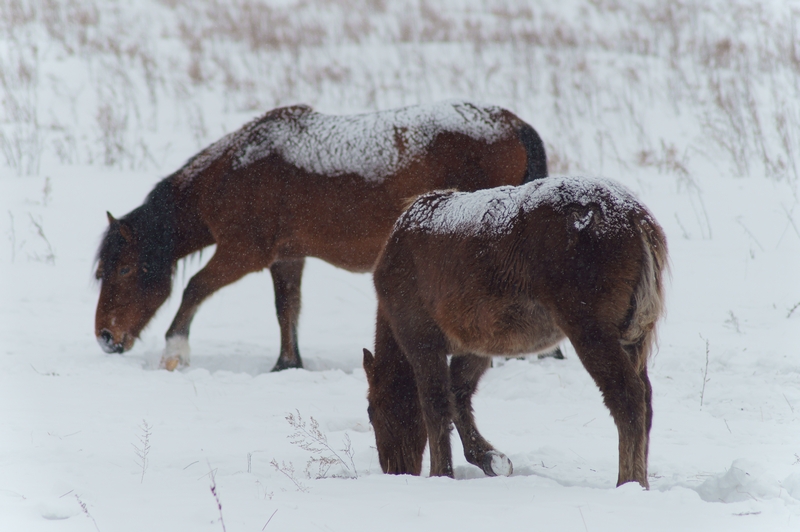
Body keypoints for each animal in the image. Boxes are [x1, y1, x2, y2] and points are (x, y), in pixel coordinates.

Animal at [90, 102, 548, 372]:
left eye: (125, 268)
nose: (106, 338)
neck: (237, 171)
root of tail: (515, 125)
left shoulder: (243, 253)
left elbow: (194, 289)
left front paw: (175, 352)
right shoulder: (286, 257)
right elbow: (287, 308)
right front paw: (286, 363)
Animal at [364, 177, 668, 488]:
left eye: (371, 412)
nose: (395, 470)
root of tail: (634, 217)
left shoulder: (421, 341)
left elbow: (436, 405)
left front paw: (442, 473)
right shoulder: (476, 344)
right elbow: (458, 395)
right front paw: (489, 458)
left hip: (592, 332)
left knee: (628, 398)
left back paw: (629, 482)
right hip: (632, 340)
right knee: (646, 399)